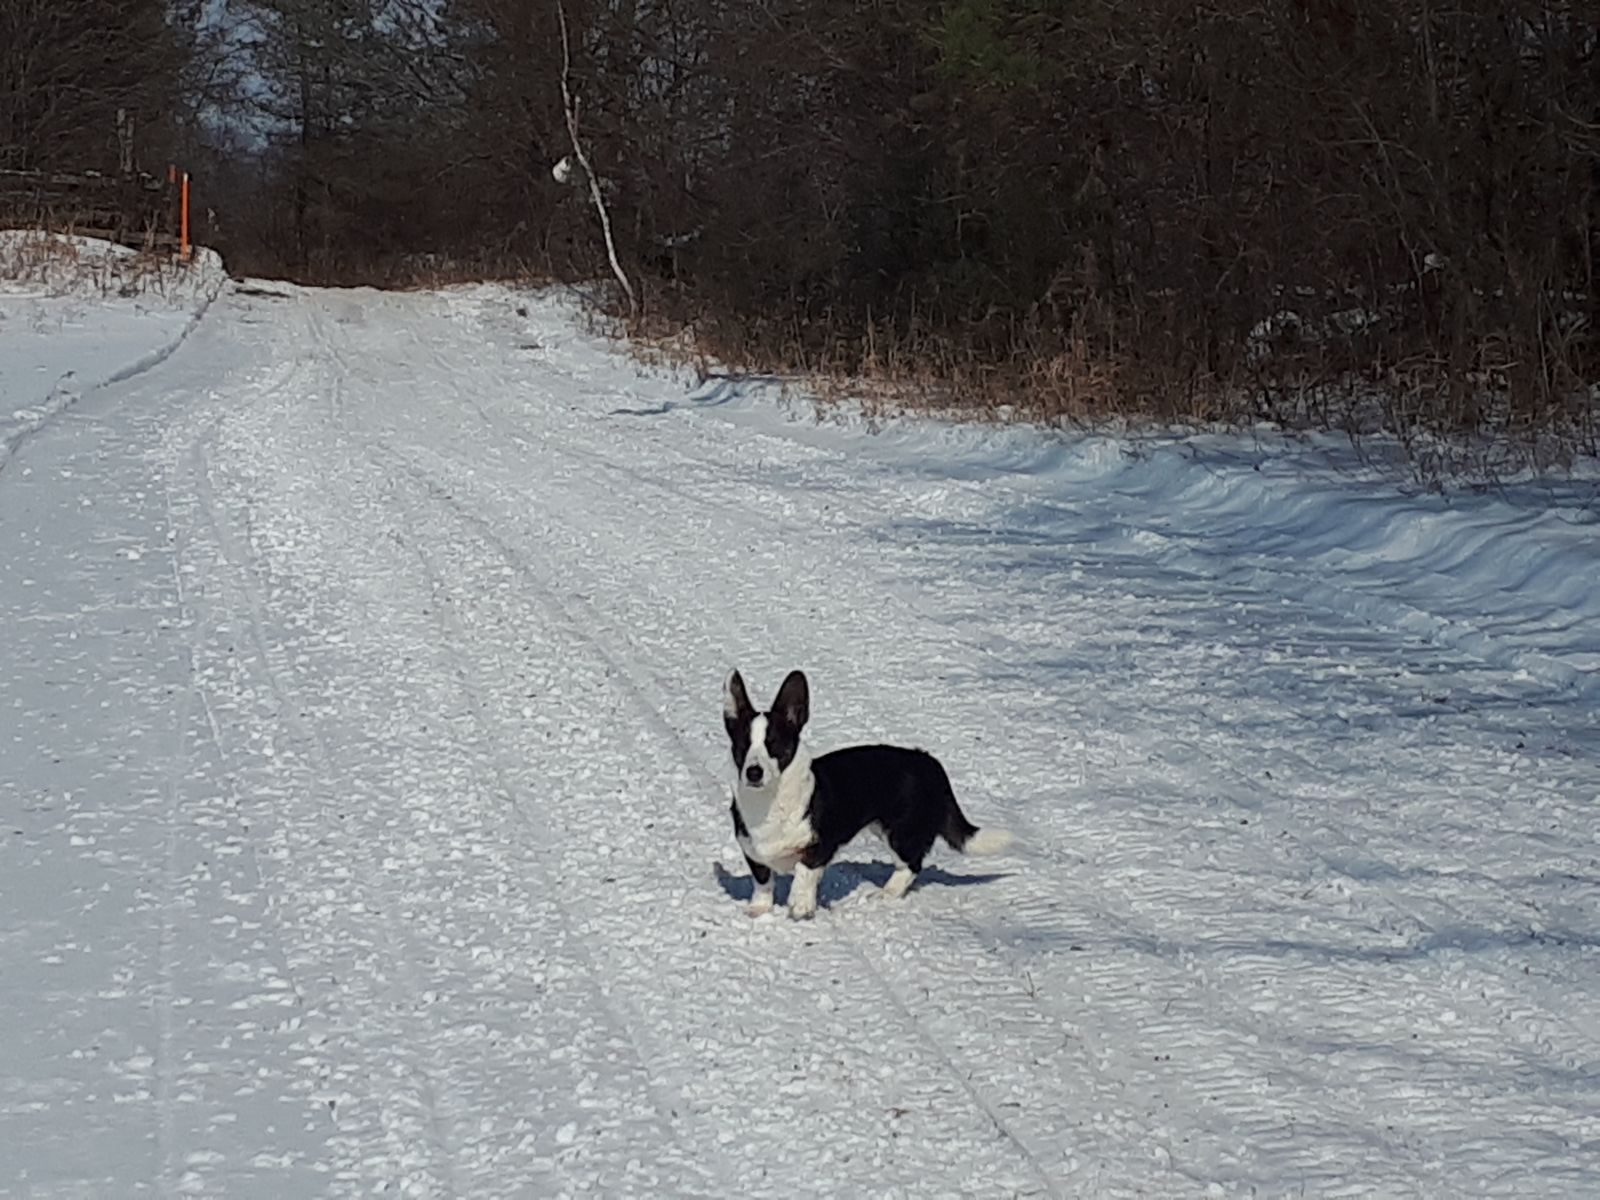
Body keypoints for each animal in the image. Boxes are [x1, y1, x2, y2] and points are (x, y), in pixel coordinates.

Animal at [722, 668, 1014, 919]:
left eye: (774, 745)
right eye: (742, 746)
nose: (754, 772)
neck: (768, 802)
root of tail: (927, 760)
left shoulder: (821, 845)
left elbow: (804, 872)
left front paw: (800, 905)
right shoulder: (752, 852)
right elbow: (762, 881)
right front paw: (759, 909)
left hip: (901, 831)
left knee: (912, 864)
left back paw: (886, 893)